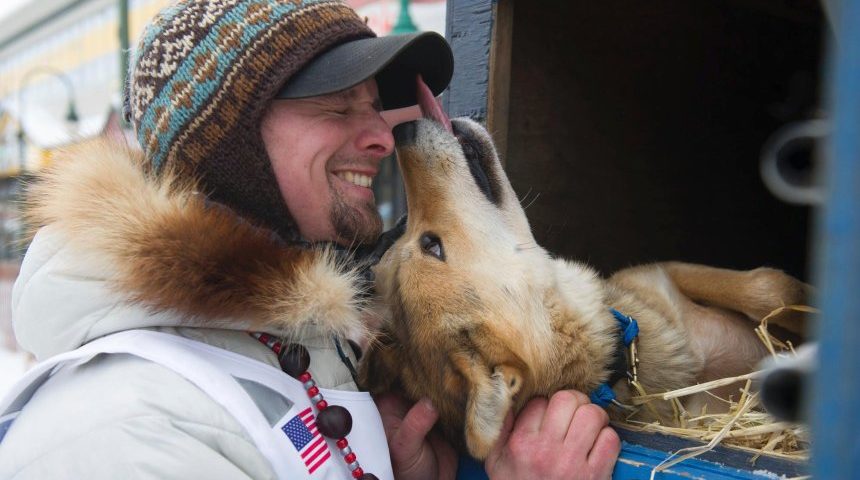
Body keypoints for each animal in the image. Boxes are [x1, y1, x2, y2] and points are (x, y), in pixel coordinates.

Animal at [360, 90, 807, 460]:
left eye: (418, 242)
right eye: (431, 245)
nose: (401, 128)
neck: (626, 355)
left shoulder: (665, 273)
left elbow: (769, 288)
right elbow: (772, 286)